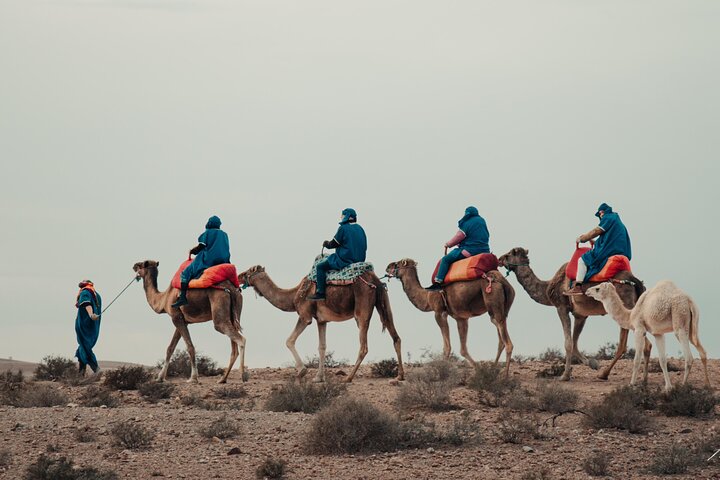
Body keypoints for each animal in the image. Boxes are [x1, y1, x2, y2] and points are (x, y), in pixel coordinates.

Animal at [237, 265, 404, 383]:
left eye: (248, 272)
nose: (238, 276)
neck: (294, 295)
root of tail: (375, 281)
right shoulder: (321, 320)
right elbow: (322, 347)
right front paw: (319, 377)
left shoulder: (305, 316)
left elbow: (289, 340)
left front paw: (302, 371)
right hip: (384, 302)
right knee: (396, 337)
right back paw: (400, 376)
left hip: (362, 310)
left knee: (364, 346)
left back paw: (348, 378)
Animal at [385, 259, 515, 376]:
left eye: (397, 263)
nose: (387, 267)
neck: (427, 296)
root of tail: (501, 280)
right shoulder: (461, 318)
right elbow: (463, 349)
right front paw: (479, 369)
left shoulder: (439, 312)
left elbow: (447, 347)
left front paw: (442, 372)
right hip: (503, 308)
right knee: (501, 337)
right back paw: (494, 369)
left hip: (493, 301)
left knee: (506, 341)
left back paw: (505, 376)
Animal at [498, 247, 651, 381]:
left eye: (509, 254)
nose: (499, 259)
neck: (548, 287)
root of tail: (635, 282)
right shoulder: (580, 315)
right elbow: (575, 342)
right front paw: (592, 363)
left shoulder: (561, 307)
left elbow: (568, 342)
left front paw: (565, 376)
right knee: (640, 345)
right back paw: (640, 379)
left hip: (627, 306)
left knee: (629, 345)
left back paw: (606, 374)